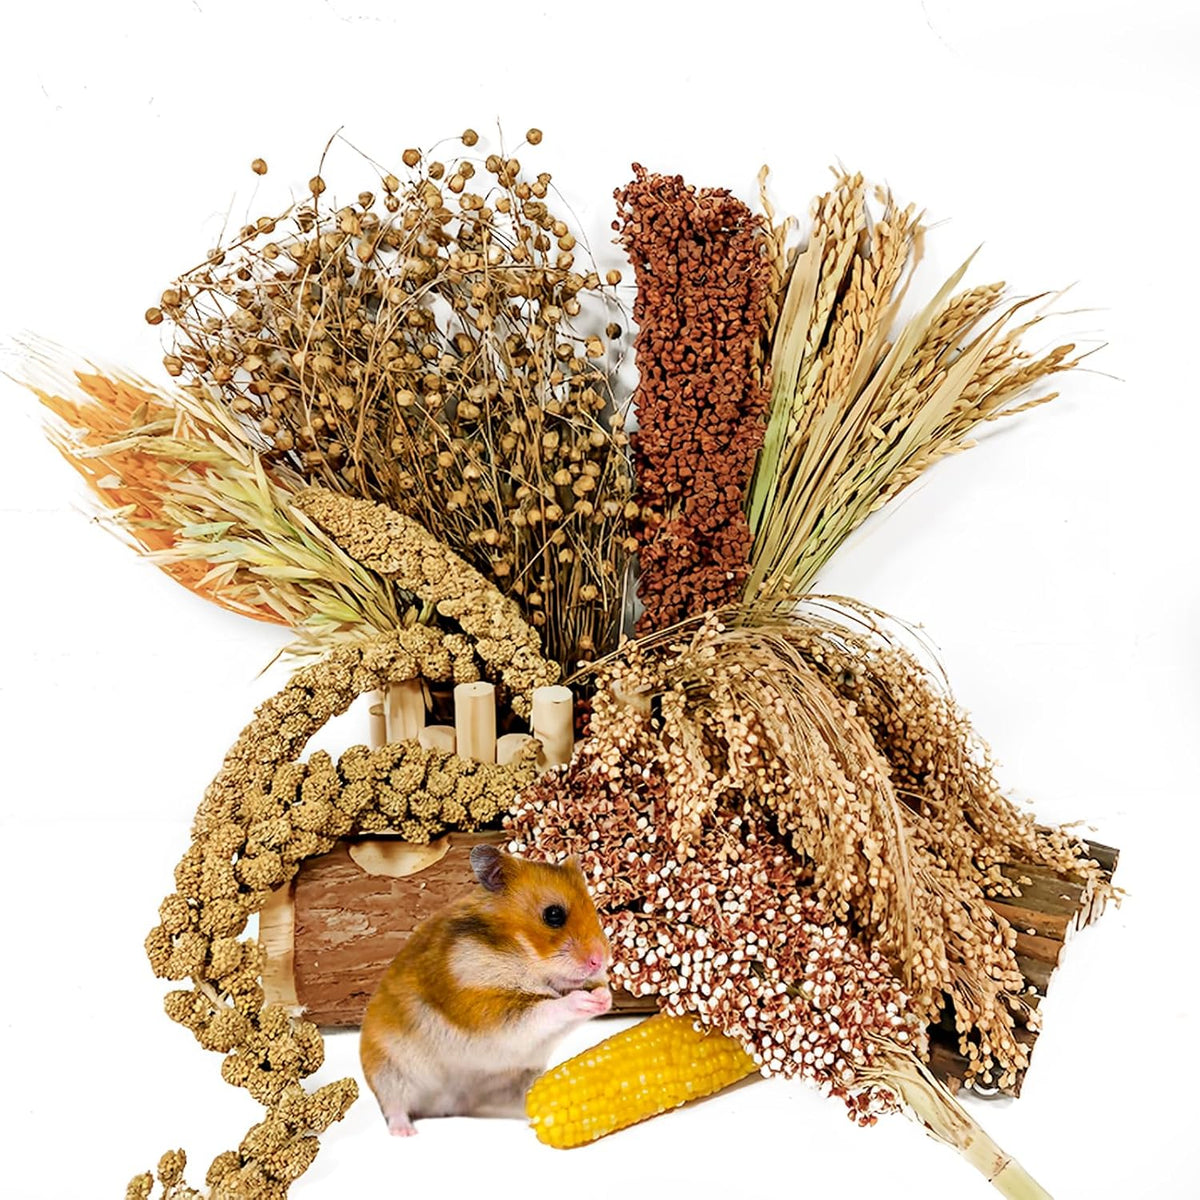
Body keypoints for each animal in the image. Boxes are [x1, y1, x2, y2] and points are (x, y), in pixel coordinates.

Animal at [359, 843, 613, 1136]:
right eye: (554, 915)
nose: (600, 961)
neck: (520, 956)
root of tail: (443, 1107)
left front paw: (605, 998)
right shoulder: (486, 1009)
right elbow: (546, 1009)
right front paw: (583, 1000)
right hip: (388, 1072)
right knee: (394, 1107)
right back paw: (406, 1132)